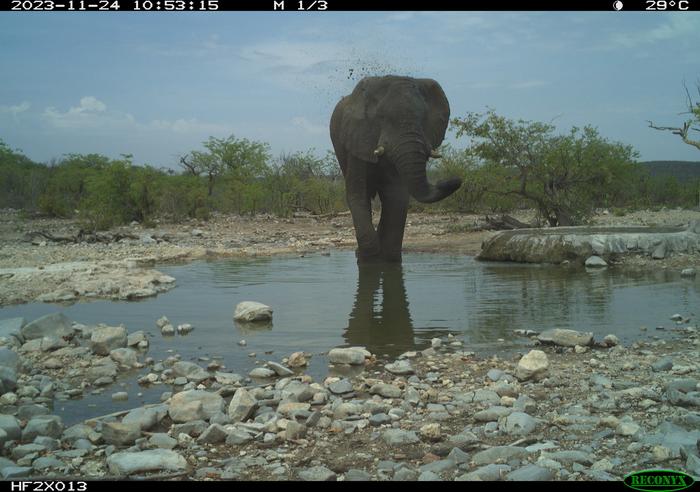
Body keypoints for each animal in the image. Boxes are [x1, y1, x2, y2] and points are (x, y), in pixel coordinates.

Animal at [330, 75, 462, 264]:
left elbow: (396, 196)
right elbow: (358, 194)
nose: (456, 179)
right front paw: (369, 258)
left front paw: (387, 259)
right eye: (382, 117)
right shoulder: (358, 139)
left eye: (423, 119)